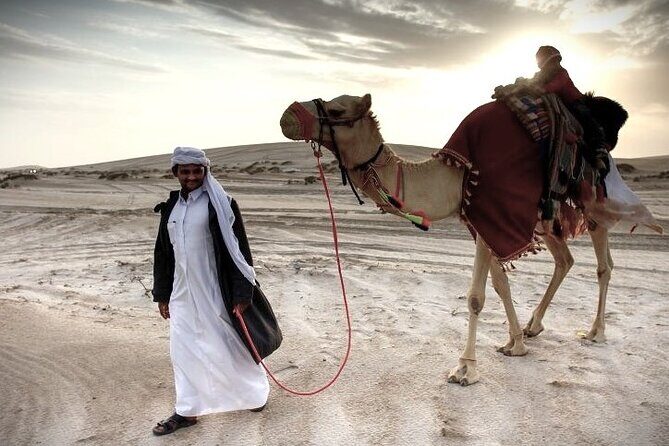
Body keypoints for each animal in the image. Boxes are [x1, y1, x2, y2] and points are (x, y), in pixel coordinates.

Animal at [279, 94, 661, 385]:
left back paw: (595, 332)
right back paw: (534, 326)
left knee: (604, 265)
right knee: (565, 260)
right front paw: (515, 343)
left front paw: (465, 368)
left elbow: (477, 296)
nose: (287, 115)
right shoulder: (480, 221)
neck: (456, 173)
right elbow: (501, 285)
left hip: (592, 201)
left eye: (337, 110)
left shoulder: (489, 210)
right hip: (548, 217)